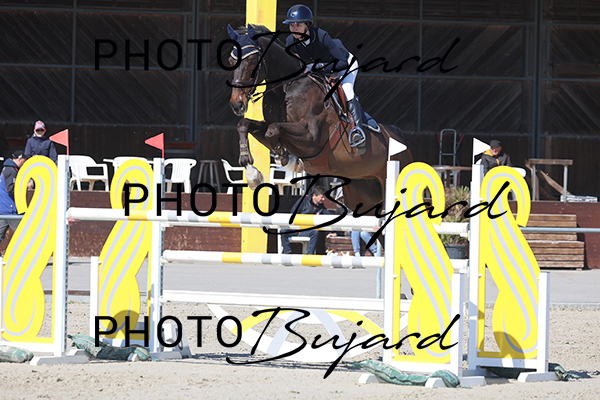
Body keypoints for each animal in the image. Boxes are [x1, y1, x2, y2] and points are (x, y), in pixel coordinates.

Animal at [227, 24, 413, 215]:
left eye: (252, 60)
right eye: (230, 61)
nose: (237, 104)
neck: (286, 89)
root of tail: (400, 139)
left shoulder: (312, 137)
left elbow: (273, 130)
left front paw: (289, 160)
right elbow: (246, 125)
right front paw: (253, 173)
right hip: (363, 193)